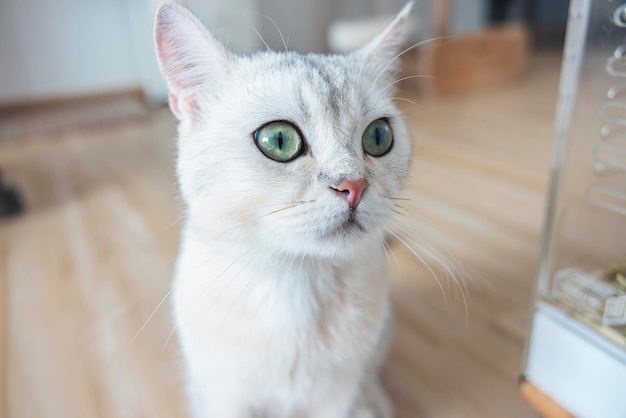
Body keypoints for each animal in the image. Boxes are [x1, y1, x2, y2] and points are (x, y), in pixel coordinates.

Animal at [154, 1, 412, 416]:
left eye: (378, 136)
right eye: (278, 140)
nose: (354, 186)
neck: (298, 287)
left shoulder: (336, 397)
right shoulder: (227, 398)